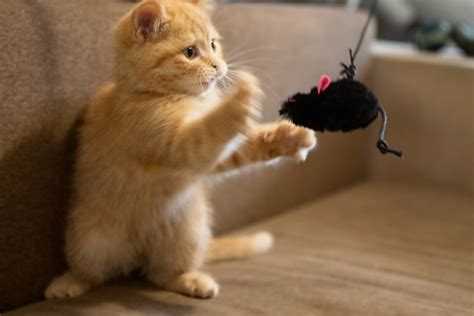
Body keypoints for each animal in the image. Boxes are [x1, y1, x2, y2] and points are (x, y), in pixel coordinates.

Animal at [46, 0, 316, 300]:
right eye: (190, 52)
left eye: (213, 44)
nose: (219, 66)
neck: (168, 96)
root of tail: (137, 253)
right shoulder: (175, 142)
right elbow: (210, 131)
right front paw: (240, 100)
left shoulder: (211, 157)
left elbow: (237, 149)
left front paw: (287, 138)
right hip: (88, 239)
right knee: (92, 271)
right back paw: (67, 284)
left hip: (188, 232)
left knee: (160, 273)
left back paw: (189, 280)